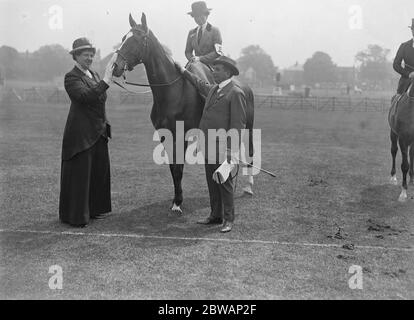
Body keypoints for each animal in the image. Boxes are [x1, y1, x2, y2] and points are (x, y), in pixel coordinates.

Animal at [113, 13, 256, 212]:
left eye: (138, 39)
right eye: (123, 38)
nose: (116, 67)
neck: (172, 91)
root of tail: (244, 86)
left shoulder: (181, 136)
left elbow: (179, 168)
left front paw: (178, 203)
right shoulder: (166, 136)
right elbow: (173, 168)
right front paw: (175, 200)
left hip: (247, 127)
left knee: (249, 152)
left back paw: (249, 187)